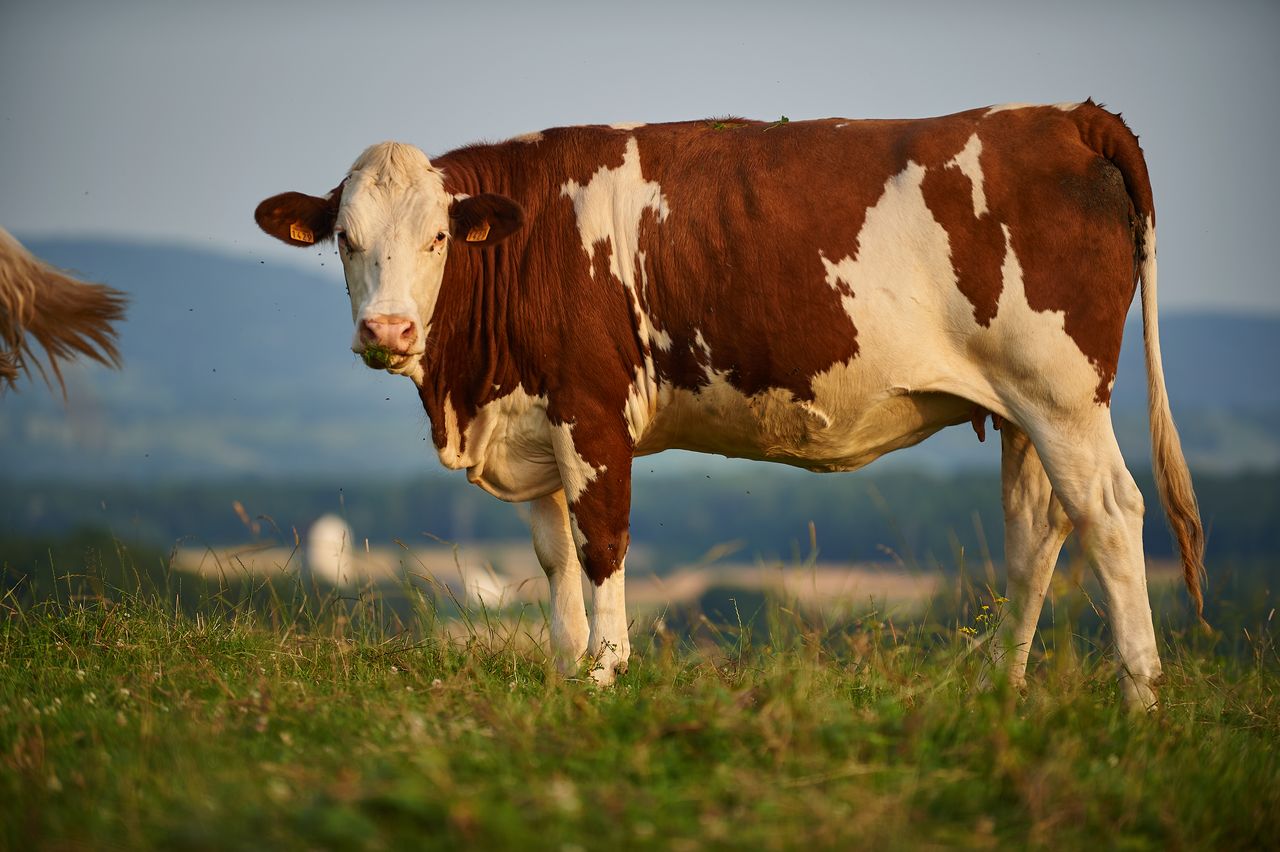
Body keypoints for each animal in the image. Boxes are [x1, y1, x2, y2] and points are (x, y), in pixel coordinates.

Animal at [256, 101, 1205, 709]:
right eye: (346, 239)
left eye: (438, 238)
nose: (388, 328)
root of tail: (1064, 114)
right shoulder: (535, 422)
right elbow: (556, 558)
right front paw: (562, 676)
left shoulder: (594, 411)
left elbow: (602, 544)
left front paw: (604, 674)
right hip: (1021, 409)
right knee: (1036, 531)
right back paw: (997, 690)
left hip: (1063, 392)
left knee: (1110, 512)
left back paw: (1141, 700)